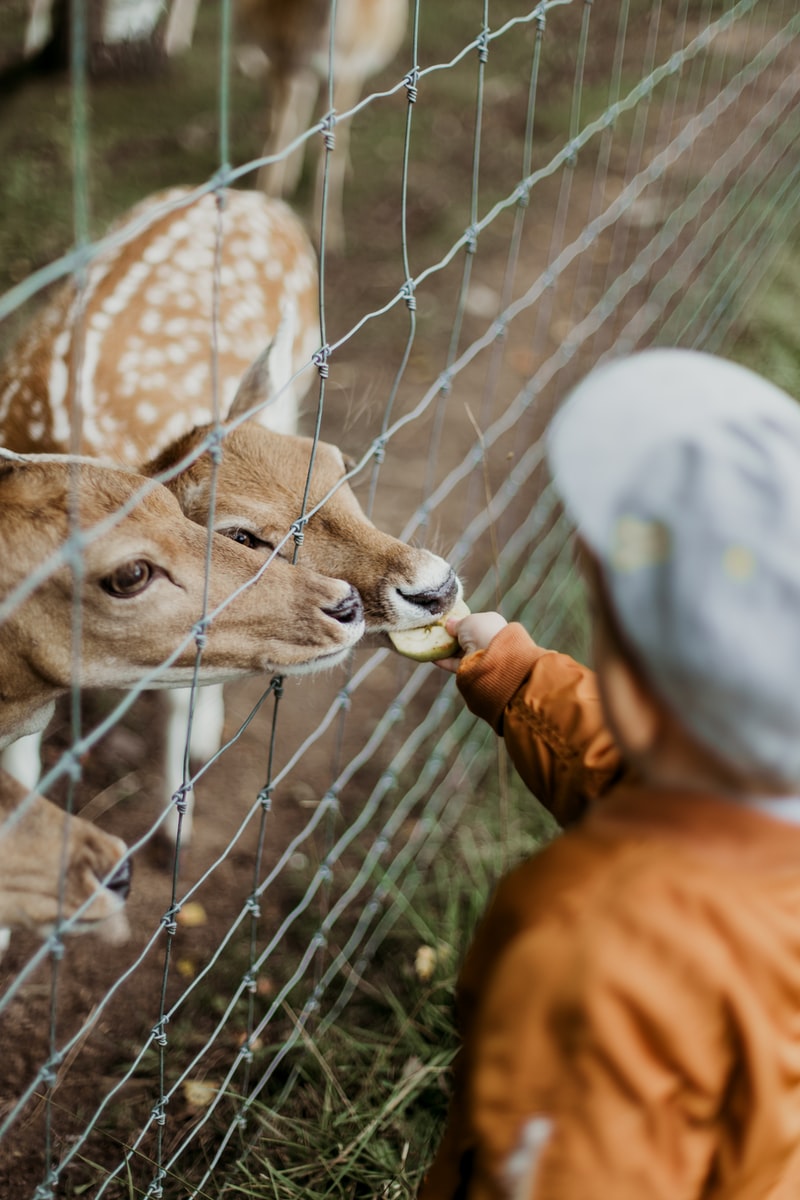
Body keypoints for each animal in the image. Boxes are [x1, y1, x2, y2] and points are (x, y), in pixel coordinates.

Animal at [165, 0, 410, 249]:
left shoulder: (346, 69)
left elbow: (333, 138)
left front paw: (328, 234)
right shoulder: (285, 61)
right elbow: (280, 130)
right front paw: (267, 202)